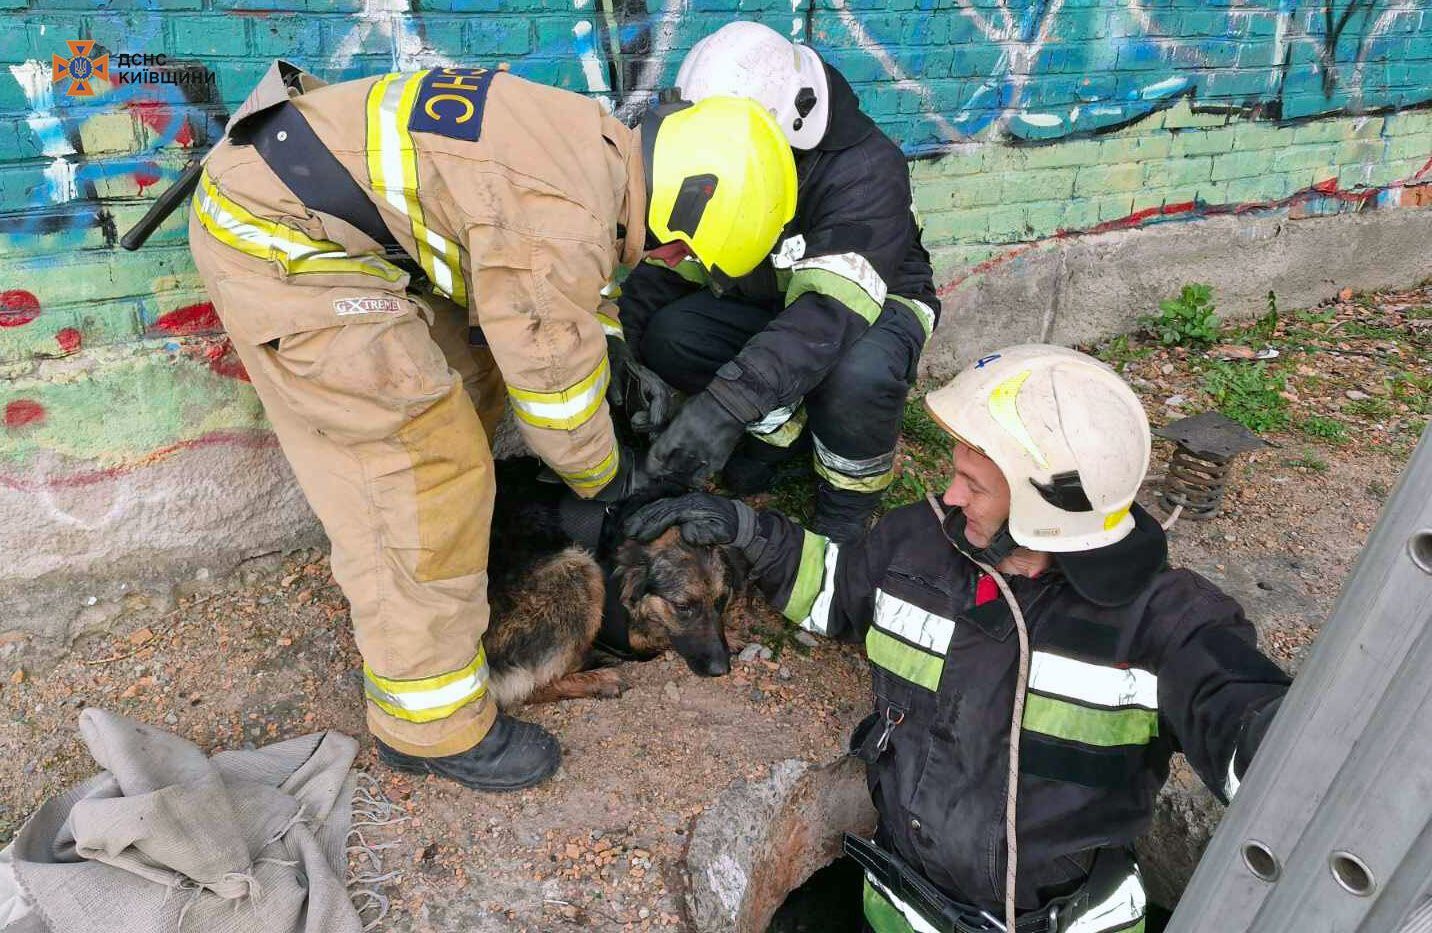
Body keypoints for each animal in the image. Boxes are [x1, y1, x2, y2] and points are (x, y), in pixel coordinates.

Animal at [484, 457, 744, 706]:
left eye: (722, 600)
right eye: (682, 607)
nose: (721, 669)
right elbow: (654, 633)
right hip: (577, 567)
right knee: (526, 691)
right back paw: (599, 680)